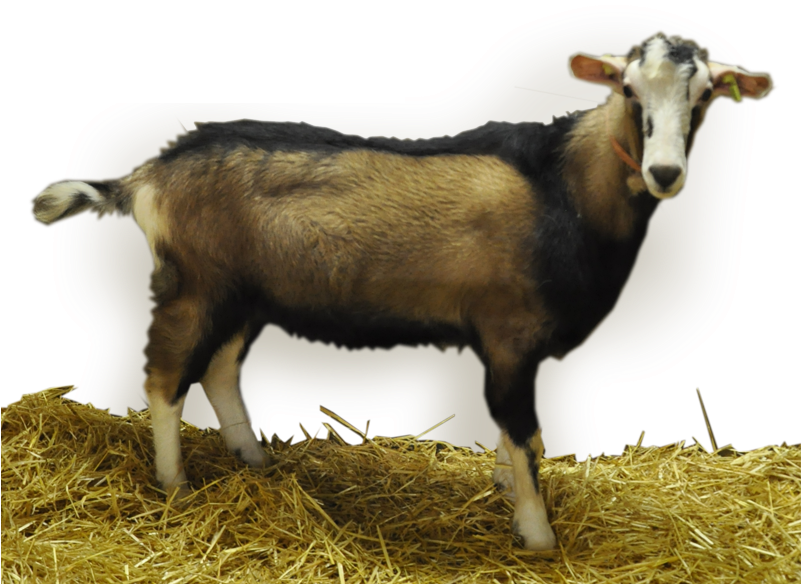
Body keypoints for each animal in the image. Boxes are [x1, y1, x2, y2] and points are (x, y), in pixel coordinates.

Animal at [29, 31, 776, 550]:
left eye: (705, 96)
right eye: (628, 91)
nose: (663, 172)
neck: (560, 188)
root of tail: (150, 174)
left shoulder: (511, 343)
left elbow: (520, 436)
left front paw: (505, 492)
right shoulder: (508, 333)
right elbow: (523, 431)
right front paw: (537, 536)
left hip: (245, 292)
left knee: (218, 369)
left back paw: (256, 462)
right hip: (195, 282)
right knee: (164, 376)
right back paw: (174, 486)